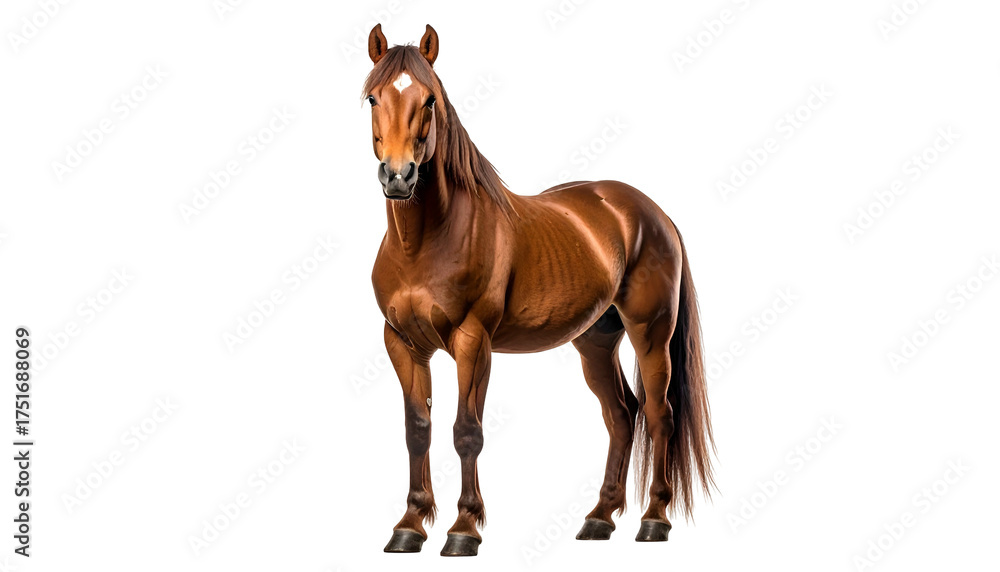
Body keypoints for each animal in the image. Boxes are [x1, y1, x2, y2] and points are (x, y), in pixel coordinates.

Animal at [363, 24, 715, 557]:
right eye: (372, 98)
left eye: (429, 100)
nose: (399, 176)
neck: (426, 243)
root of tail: (652, 212)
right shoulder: (402, 344)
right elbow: (417, 430)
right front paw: (409, 525)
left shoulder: (473, 342)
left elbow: (466, 432)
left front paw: (463, 529)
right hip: (595, 341)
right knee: (621, 414)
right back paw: (599, 518)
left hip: (651, 334)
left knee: (659, 415)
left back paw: (654, 520)